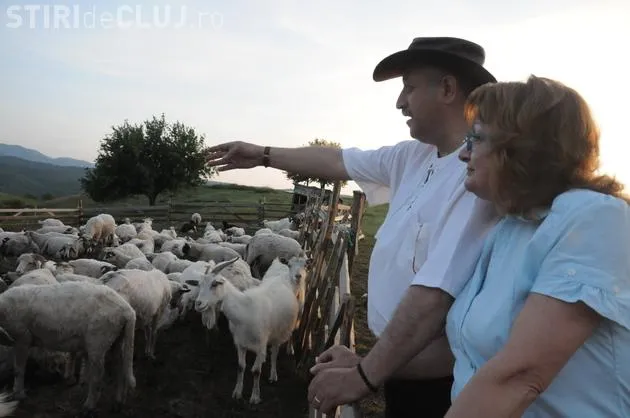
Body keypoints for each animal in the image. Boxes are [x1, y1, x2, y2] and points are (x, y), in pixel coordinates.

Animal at [0, 281, 136, 415]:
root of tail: (128, 311)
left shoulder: (22, 337)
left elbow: (18, 369)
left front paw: (18, 394)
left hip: (99, 338)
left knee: (98, 376)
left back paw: (89, 406)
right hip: (116, 338)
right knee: (120, 368)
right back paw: (117, 403)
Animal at [187, 255, 307, 404]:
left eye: (215, 284)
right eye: (199, 285)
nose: (198, 304)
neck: (245, 310)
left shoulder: (261, 344)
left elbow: (256, 371)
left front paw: (255, 397)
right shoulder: (240, 343)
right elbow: (241, 367)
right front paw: (237, 392)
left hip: (280, 330)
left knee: (275, 351)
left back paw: (273, 374)